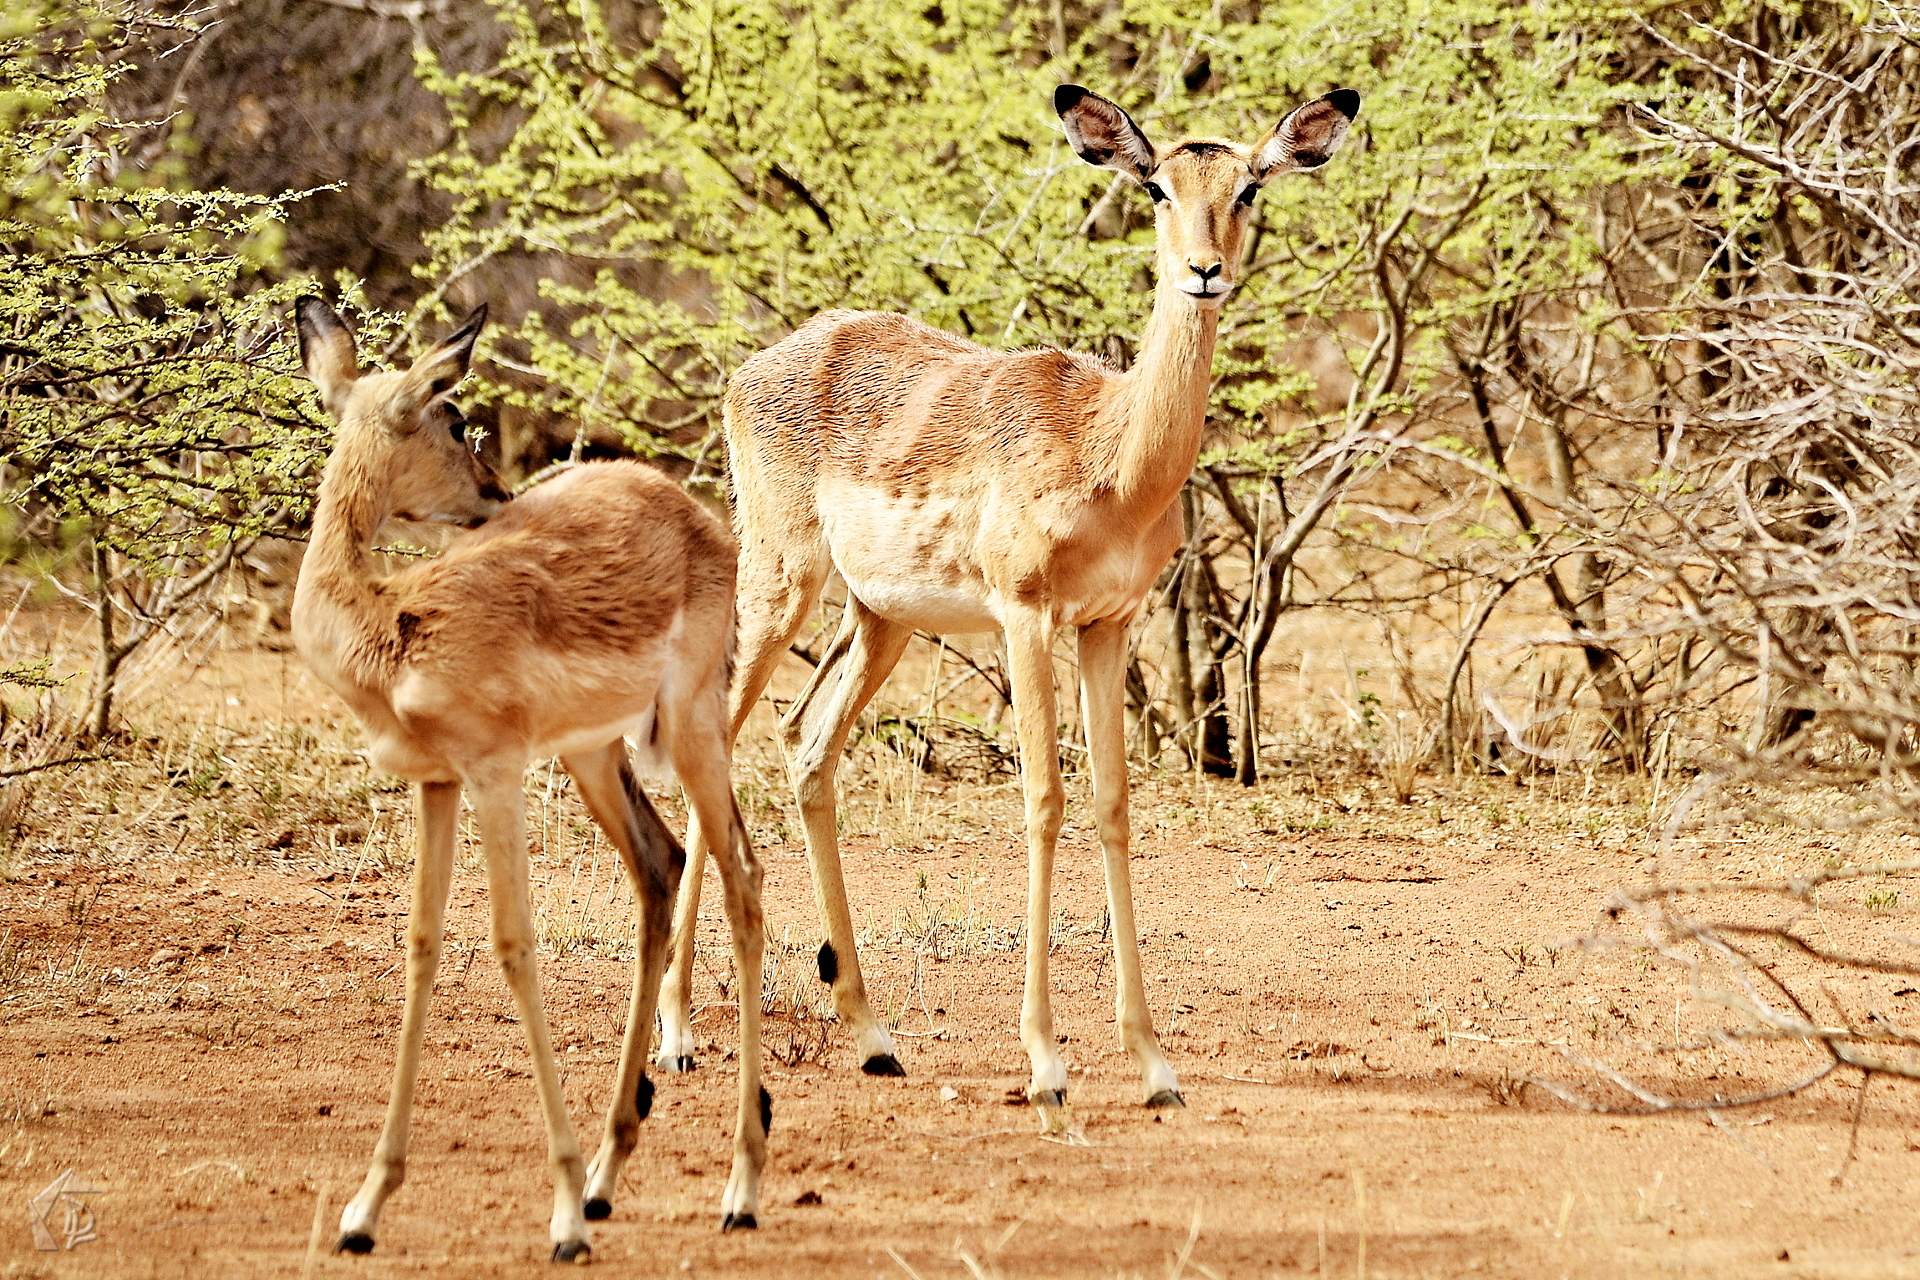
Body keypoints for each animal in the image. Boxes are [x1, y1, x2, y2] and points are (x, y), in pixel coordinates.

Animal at [289, 295, 768, 1260]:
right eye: (452, 418)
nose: (495, 493)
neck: (395, 626)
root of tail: (694, 514)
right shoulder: (436, 784)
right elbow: (422, 949)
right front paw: (364, 1211)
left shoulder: (495, 774)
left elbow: (514, 945)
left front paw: (561, 1216)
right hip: (595, 757)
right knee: (661, 867)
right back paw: (611, 1175)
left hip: (693, 733)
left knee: (741, 879)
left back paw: (737, 1190)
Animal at [654, 84, 1359, 1132]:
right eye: (1154, 187)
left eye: (1249, 188)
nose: (1204, 272)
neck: (1109, 452)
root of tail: (759, 366)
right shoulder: (1027, 617)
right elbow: (1042, 801)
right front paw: (1047, 1064)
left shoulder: (1108, 626)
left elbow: (1110, 803)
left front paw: (1153, 1064)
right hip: (780, 585)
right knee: (720, 740)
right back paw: (676, 1036)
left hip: (880, 620)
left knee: (806, 748)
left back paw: (874, 1039)